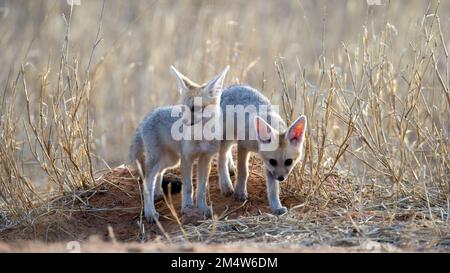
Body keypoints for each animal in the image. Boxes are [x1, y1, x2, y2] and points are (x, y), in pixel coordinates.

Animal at [129, 65, 229, 221]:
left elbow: (201, 188)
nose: (182, 123)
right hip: (161, 159)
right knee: (147, 182)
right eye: (183, 108)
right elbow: (188, 187)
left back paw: (158, 193)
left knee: (159, 174)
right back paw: (150, 212)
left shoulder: (205, 158)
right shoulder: (186, 158)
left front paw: (202, 207)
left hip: (171, 160)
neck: (201, 137)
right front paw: (187, 207)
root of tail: (148, 116)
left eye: (195, 108)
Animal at [217, 85, 306, 215]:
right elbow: (244, 171)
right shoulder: (243, 145)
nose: (281, 178)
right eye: (273, 161)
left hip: (232, 139)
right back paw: (225, 185)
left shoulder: (270, 167)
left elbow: (273, 188)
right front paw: (240, 192)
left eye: (289, 161)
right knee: (221, 158)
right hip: (227, 139)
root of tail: (228, 88)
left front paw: (276, 207)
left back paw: (230, 168)